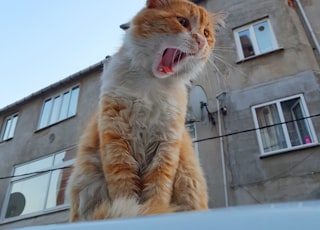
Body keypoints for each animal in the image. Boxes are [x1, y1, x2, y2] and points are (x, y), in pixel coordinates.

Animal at [67, 0, 222, 221]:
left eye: (206, 33)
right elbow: (124, 191)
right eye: (182, 22)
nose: (201, 41)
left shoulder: (165, 145)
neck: (151, 86)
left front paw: (154, 210)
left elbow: (157, 190)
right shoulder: (116, 140)